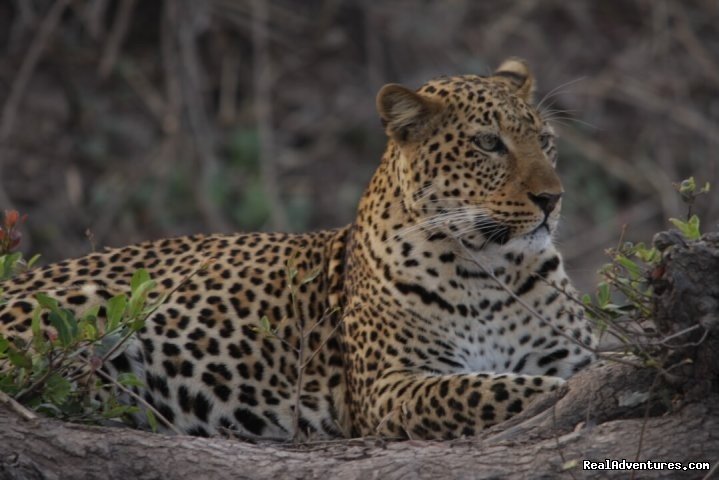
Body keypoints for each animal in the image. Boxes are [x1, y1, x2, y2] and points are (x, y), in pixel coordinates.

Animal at [0, 60, 596, 442]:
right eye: (488, 143)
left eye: (545, 141)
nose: (553, 198)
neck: (491, 269)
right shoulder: (392, 385)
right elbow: (494, 390)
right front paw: (550, 393)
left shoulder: (566, 351)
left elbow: (560, 375)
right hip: (78, 308)